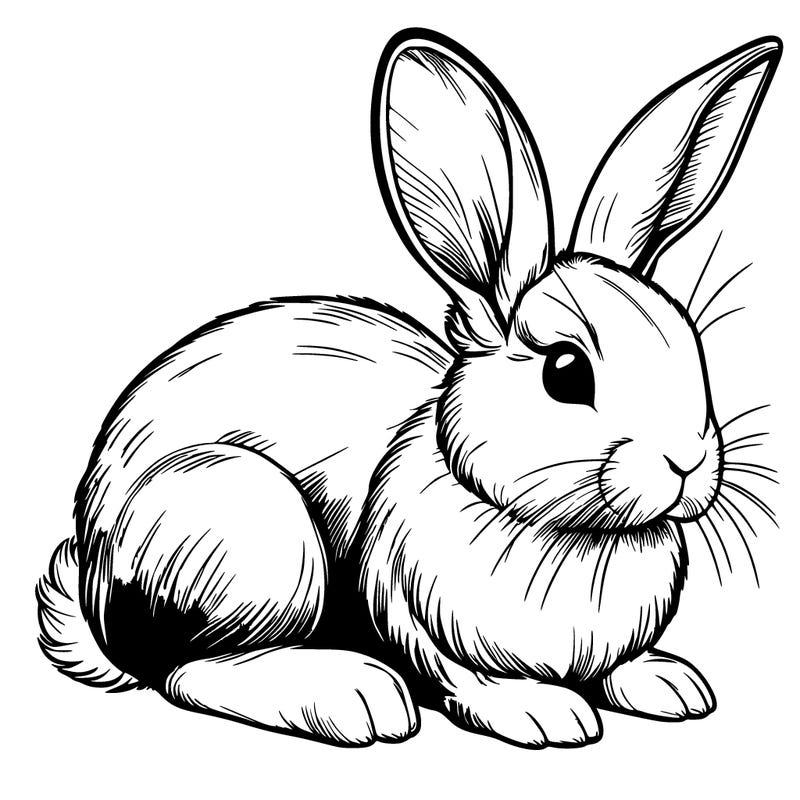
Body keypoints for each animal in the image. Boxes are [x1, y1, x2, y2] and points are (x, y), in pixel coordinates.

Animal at [37, 28, 781, 749]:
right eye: (566, 372)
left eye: (690, 342)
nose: (687, 461)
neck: (569, 532)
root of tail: (97, 583)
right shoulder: (405, 606)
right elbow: (460, 675)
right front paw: (542, 713)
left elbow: (616, 668)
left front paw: (669, 684)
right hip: (248, 532)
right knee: (185, 670)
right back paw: (352, 696)